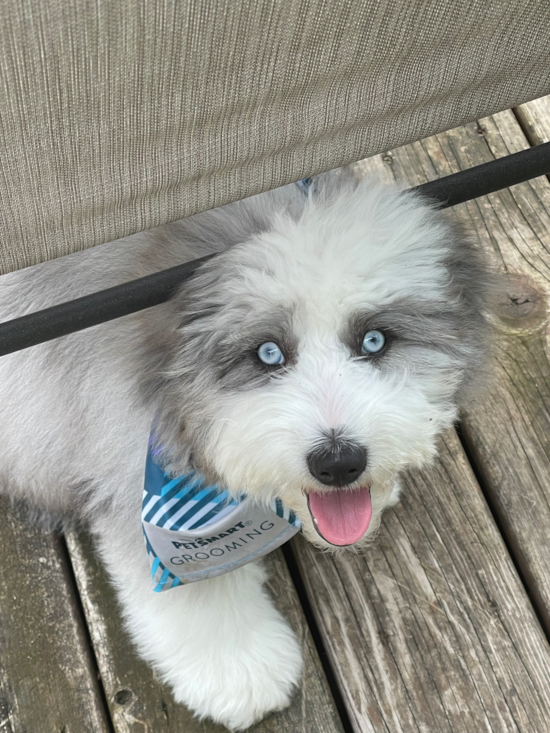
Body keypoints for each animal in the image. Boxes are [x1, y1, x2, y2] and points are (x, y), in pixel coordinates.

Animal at [0, 170, 492, 728]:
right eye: (267, 353)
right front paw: (237, 668)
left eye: (374, 341)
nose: (339, 463)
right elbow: (200, 592)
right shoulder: (134, 474)